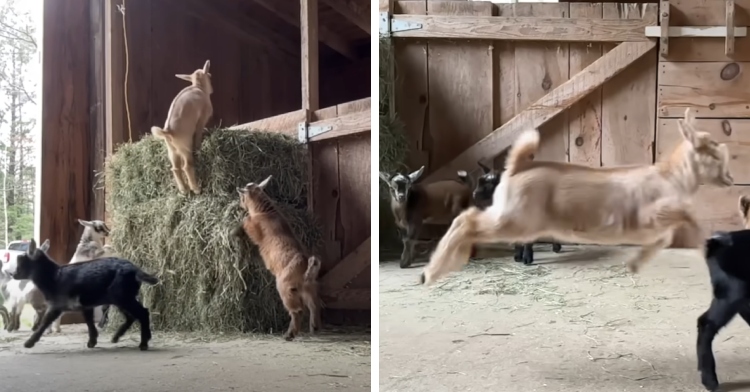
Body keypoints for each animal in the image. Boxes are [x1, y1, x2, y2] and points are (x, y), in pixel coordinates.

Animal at [9, 245, 160, 352]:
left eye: (21, 261)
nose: (13, 274)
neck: (54, 278)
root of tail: (135, 270)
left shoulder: (57, 304)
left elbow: (45, 322)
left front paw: (29, 343)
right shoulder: (85, 305)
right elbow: (89, 321)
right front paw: (92, 341)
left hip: (122, 296)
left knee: (143, 312)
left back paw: (144, 343)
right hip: (121, 297)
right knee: (131, 316)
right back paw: (117, 337)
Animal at [151, 59, 213, 194]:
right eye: (210, 75)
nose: (211, 89)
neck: (198, 87)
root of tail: (168, 131)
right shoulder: (202, 119)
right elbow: (199, 133)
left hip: (172, 150)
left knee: (175, 168)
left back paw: (184, 190)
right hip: (185, 146)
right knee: (187, 166)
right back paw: (196, 189)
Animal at [238, 176, 324, 342]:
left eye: (242, 195)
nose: (240, 203)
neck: (265, 212)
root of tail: (306, 268)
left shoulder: (253, 228)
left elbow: (247, 222)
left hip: (285, 288)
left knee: (297, 311)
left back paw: (289, 334)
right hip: (309, 289)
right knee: (314, 306)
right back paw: (314, 327)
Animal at [424, 107, 736, 284]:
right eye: (710, 151)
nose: (731, 178)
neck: (670, 176)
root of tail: (518, 166)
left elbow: (666, 237)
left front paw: (636, 262)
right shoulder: (651, 214)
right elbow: (688, 218)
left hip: (506, 214)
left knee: (466, 219)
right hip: (516, 220)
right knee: (466, 222)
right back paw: (433, 271)